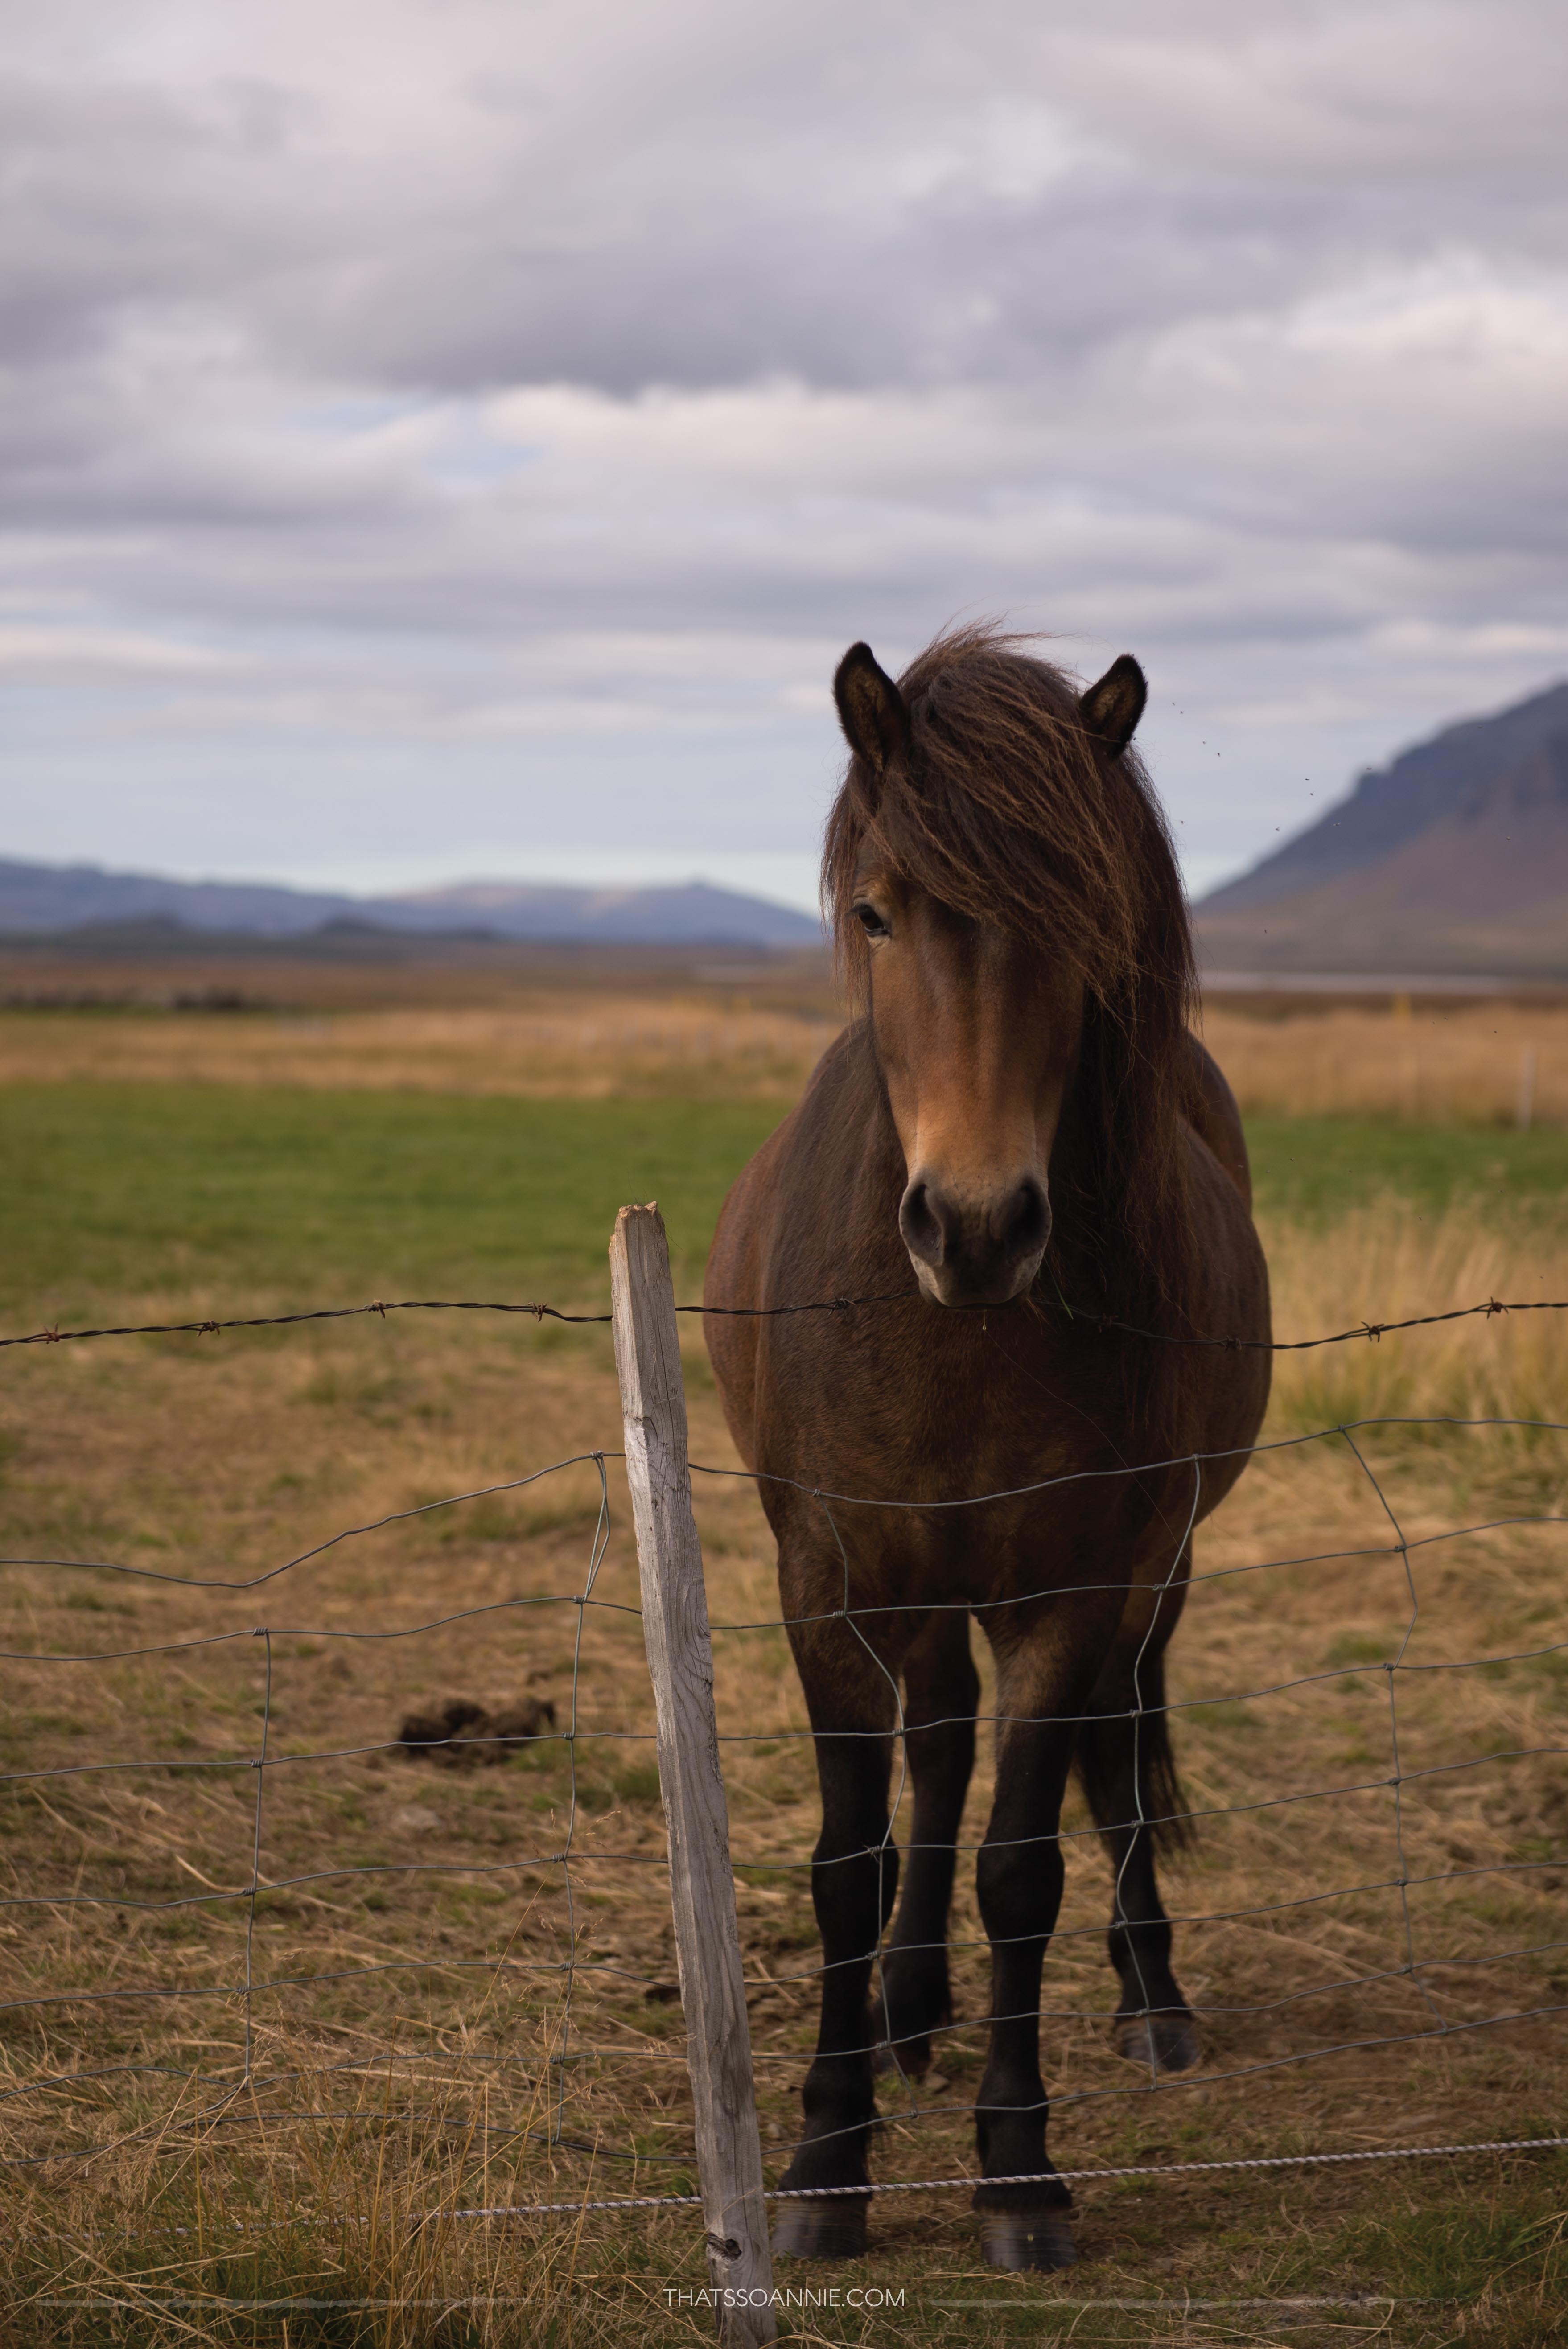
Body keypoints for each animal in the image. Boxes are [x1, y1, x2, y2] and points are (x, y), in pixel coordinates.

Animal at [705, 620, 1269, 2255]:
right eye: (877, 912)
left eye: (1083, 918)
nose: (971, 1223)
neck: (955, 1331)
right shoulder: (827, 1576)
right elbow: (847, 1859)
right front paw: (825, 2160)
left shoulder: (1071, 1585)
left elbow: (1023, 1861)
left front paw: (1016, 2166)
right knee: (939, 1744)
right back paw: (907, 2003)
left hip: (1154, 1571)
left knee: (1114, 1744)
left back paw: (1149, 1992)